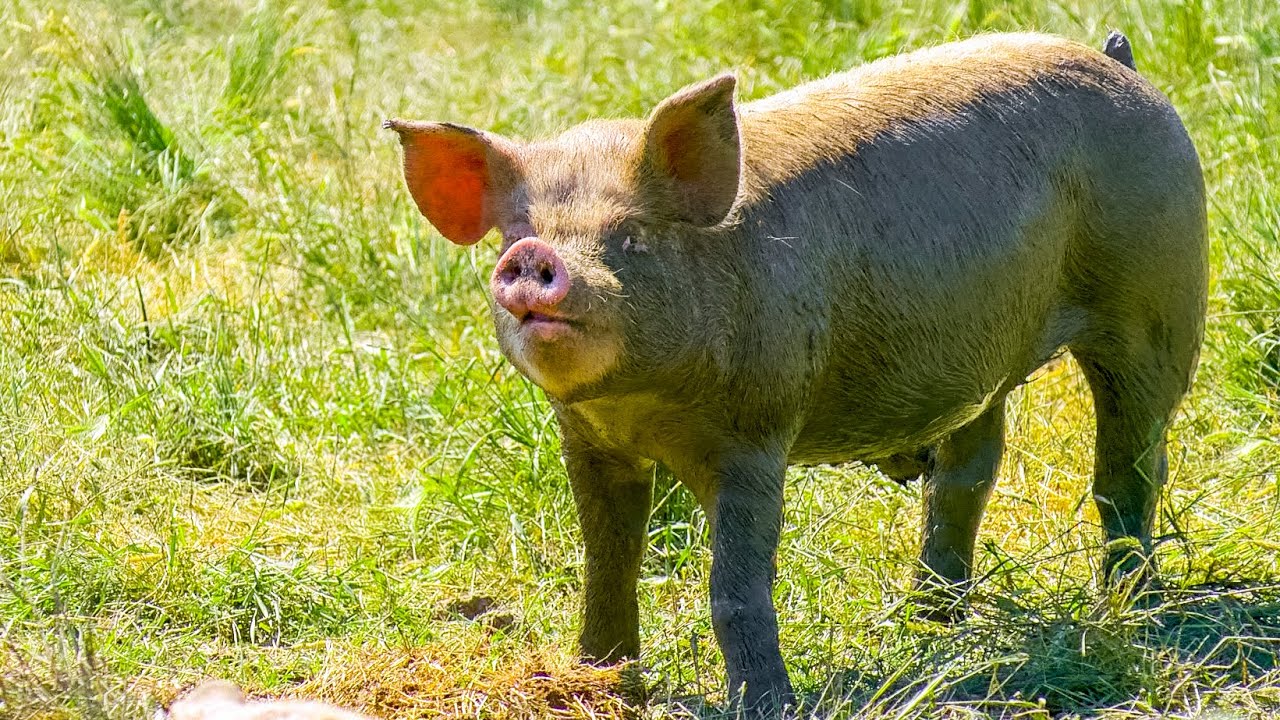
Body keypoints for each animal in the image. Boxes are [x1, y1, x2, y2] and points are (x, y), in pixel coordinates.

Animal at [385, 31, 1207, 711]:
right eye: (516, 232)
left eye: (632, 236)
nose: (532, 259)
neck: (643, 408)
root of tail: (1123, 63)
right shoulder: (589, 439)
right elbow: (608, 560)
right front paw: (596, 680)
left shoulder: (757, 432)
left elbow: (735, 585)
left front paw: (767, 707)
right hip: (986, 356)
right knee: (968, 473)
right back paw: (928, 623)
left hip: (1156, 296)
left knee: (1131, 465)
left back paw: (1127, 609)